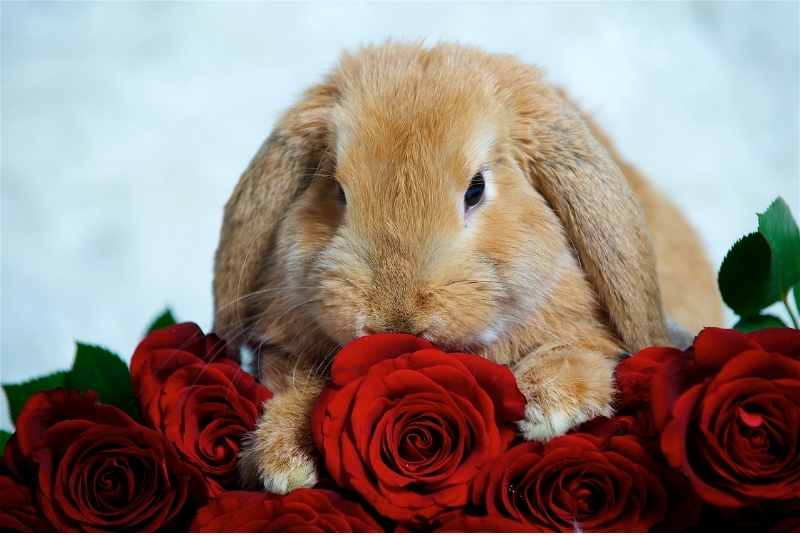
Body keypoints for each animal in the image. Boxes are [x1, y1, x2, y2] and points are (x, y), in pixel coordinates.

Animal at [212, 42, 722, 494]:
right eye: (336, 190)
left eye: (476, 189)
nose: (395, 322)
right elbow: (295, 386)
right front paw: (284, 462)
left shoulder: (587, 334)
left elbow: (583, 350)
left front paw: (549, 408)